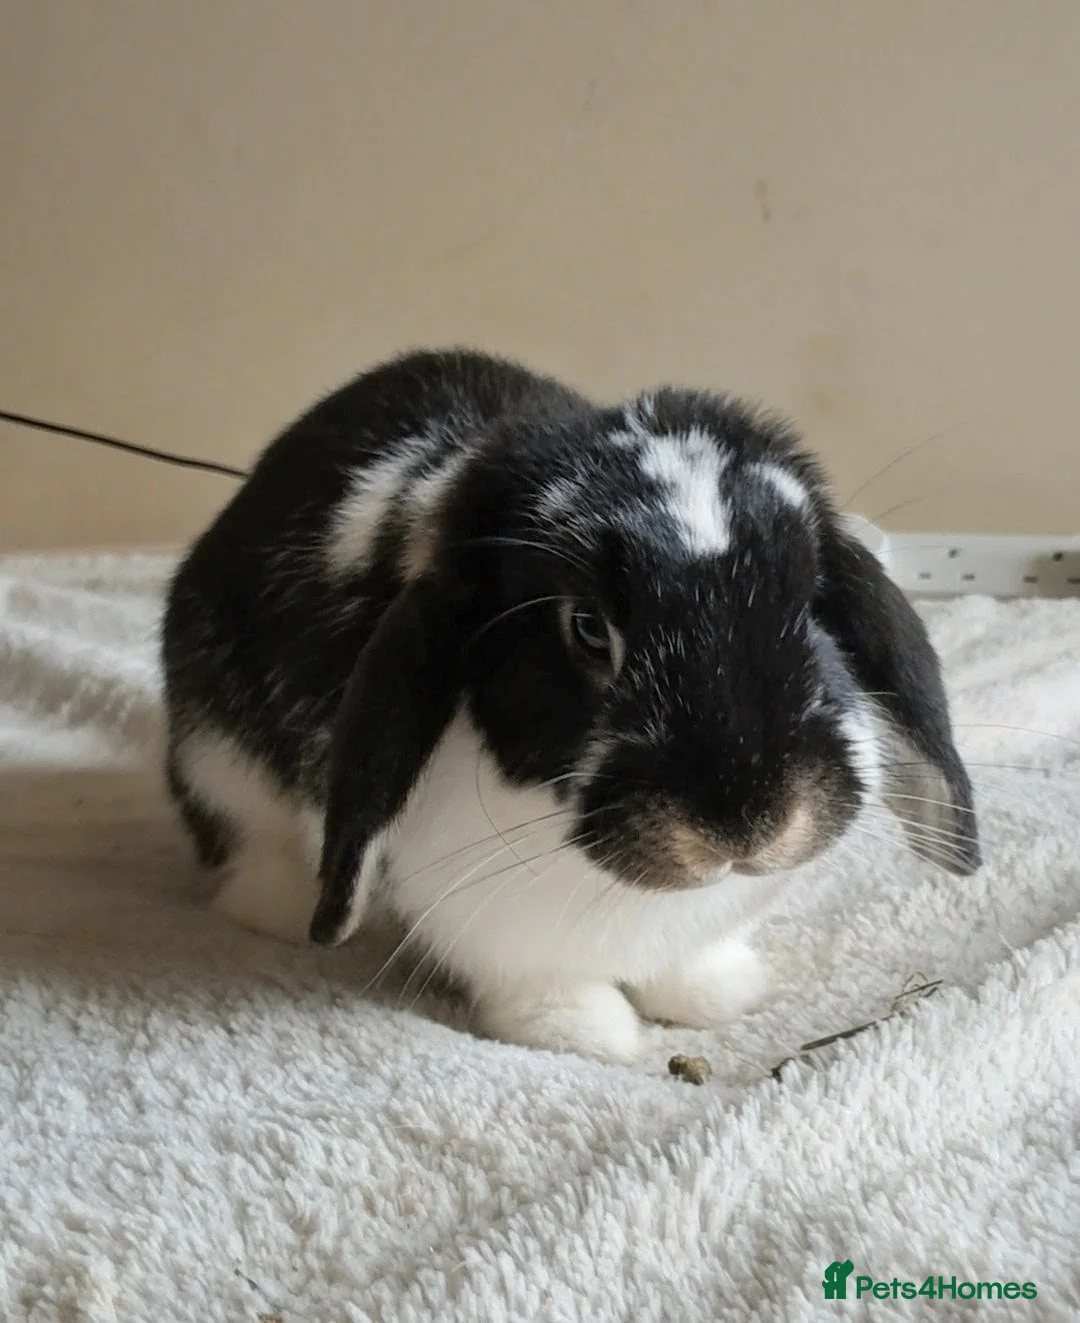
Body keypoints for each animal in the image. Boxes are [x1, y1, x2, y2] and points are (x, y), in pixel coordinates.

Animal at [161, 347, 980, 1063]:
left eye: (809, 603)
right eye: (586, 628)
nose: (749, 824)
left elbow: (693, 966)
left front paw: (720, 997)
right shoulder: (503, 935)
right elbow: (548, 988)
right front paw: (589, 1035)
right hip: (216, 761)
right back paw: (275, 904)